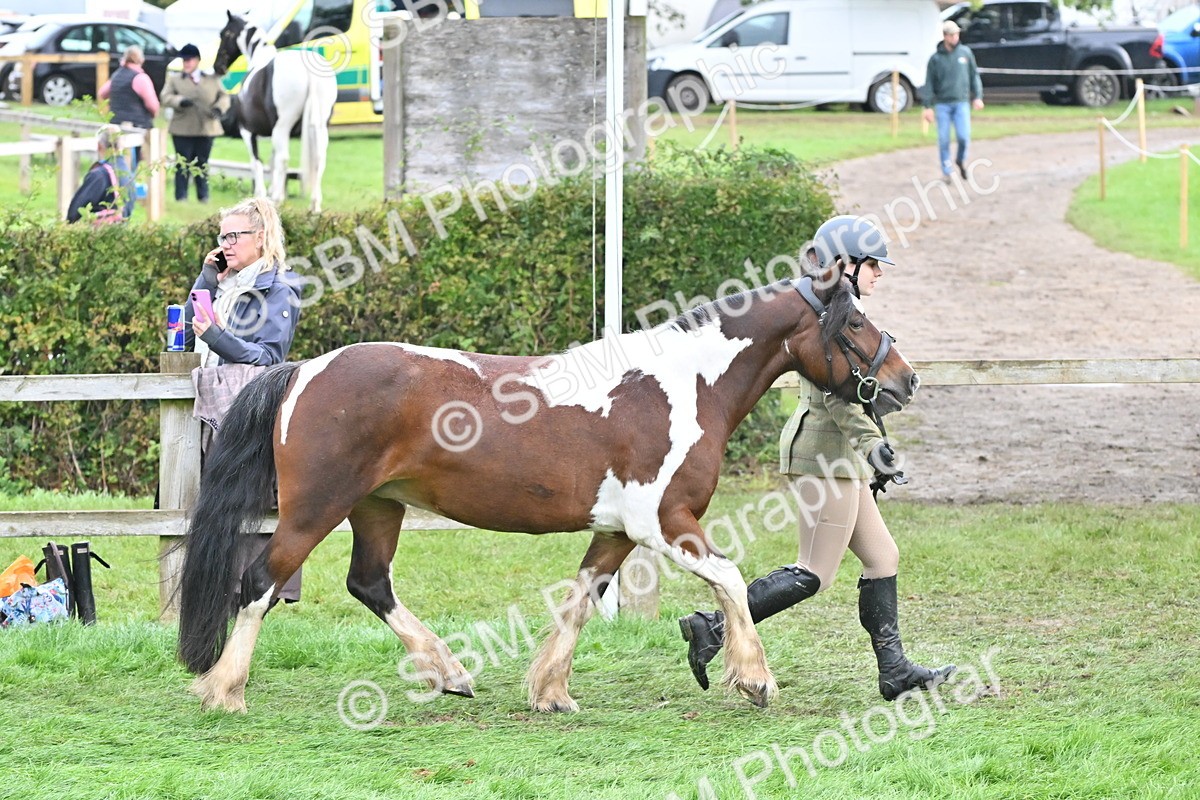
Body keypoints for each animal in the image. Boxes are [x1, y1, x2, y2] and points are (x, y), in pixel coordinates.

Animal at [176, 274, 920, 714]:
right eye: (855, 324)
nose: (905, 380)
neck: (687, 385)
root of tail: (304, 371)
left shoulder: (618, 531)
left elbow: (581, 600)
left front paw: (550, 691)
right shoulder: (664, 522)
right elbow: (732, 578)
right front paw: (756, 678)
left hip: (378, 506)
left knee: (369, 584)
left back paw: (450, 672)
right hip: (314, 510)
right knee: (258, 584)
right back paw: (224, 691)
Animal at [213, 12, 336, 213]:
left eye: (224, 34)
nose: (218, 66)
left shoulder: (248, 132)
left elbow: (257, 163)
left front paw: (262, 195)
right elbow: (272, 162)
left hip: (282, 127)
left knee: (283, 159)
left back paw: (278, 198)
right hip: (319, 127)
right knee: (318, 159)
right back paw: (314, 205)